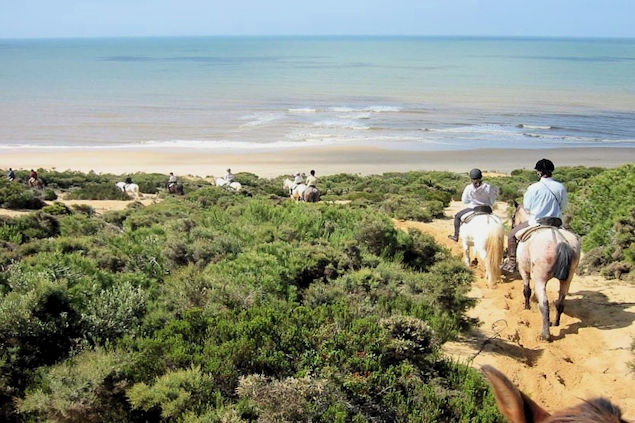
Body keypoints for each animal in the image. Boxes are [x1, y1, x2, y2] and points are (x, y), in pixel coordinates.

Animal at [512, 205, 580, 342]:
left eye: (513, 217)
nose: (512, 226)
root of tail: (560, 241)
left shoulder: (523, 270)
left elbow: (526, 290)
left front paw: (526, 307)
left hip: (540, 279)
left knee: (544, 304)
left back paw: (545, 335)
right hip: (568, 279)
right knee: (560, 302)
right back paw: (556, 323)